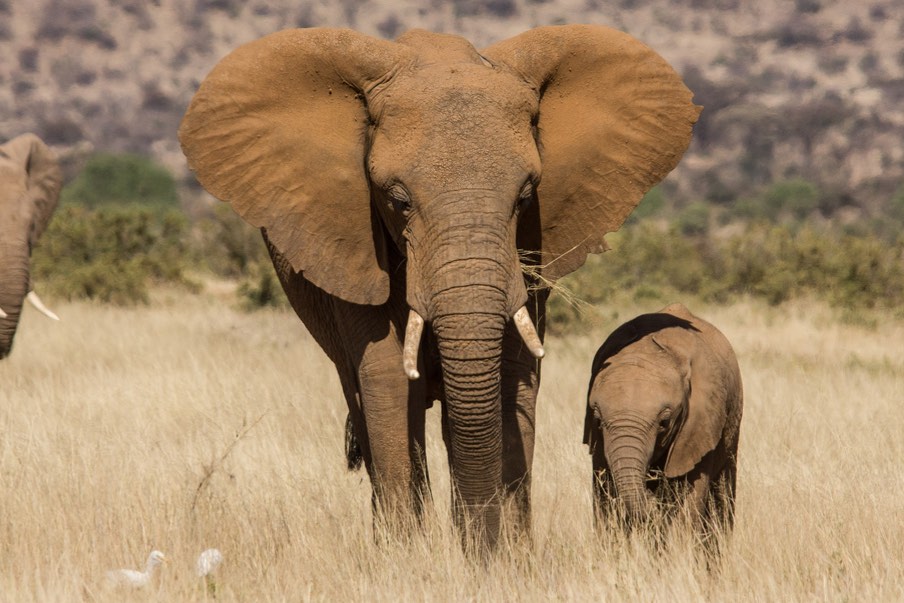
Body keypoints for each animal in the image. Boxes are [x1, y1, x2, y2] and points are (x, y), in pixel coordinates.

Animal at [178, 24, 700, 552]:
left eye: (525, 196)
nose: (480, 547)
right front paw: (407, 557)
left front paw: (503, 557)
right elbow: (388, 379)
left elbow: (512, 377)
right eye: (397, 200)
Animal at [584, 304, 744, 540]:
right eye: (597, 419)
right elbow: (604, 497)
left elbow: (689, 499)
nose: (651, 495)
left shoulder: (699, 425)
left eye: (664, 423)